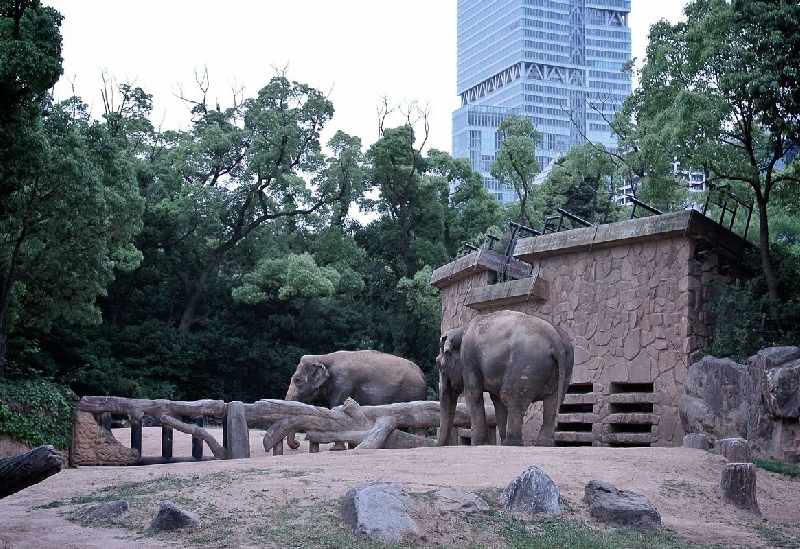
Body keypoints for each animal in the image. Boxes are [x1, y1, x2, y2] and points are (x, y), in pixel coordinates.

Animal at [284, 352, 428, 450]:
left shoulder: (343, 385)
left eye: (297, 380)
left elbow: (337, 408)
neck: (324, 357)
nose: (297, 444)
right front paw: (351, 446)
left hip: (415, 391)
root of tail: (421, 373)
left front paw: (336, 449)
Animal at [438, 308, 576, 446]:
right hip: (563, 368)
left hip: (525, 363)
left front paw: (479, 444)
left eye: (440, 365)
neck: (460, 330)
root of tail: (555, 337)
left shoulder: (468, 357)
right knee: (553, 401)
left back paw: (511, 442)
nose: (441, 445)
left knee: (510, 396)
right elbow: (497, 401)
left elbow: (473, 394)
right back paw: (542, 444)